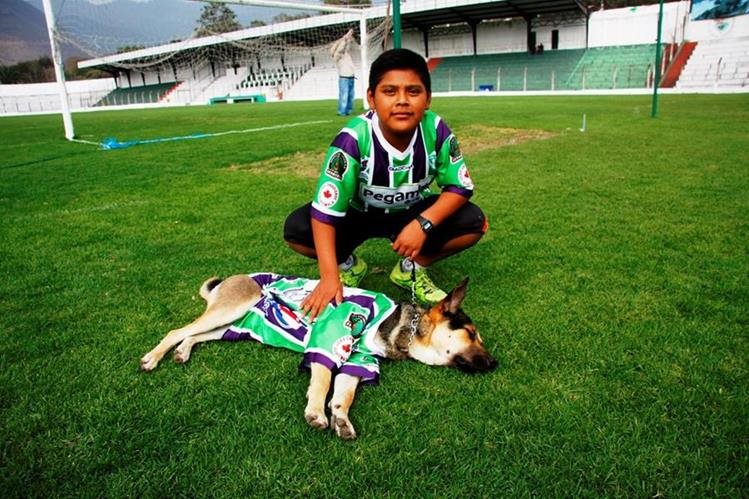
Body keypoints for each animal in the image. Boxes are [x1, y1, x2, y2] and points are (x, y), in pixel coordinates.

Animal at [139, 274, 496, 442]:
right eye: (472, 334)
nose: (495, 364)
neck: (399, 325)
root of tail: (231, 279)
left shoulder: (360, 361)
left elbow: (343, 395)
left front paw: (341, 419)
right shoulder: (330, 340)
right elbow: (324, 381)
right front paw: (316, 413)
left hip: (237, 325)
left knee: (194, 336)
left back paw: (183, 352)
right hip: (233, 307)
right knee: (176, 330)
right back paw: (153, 358)